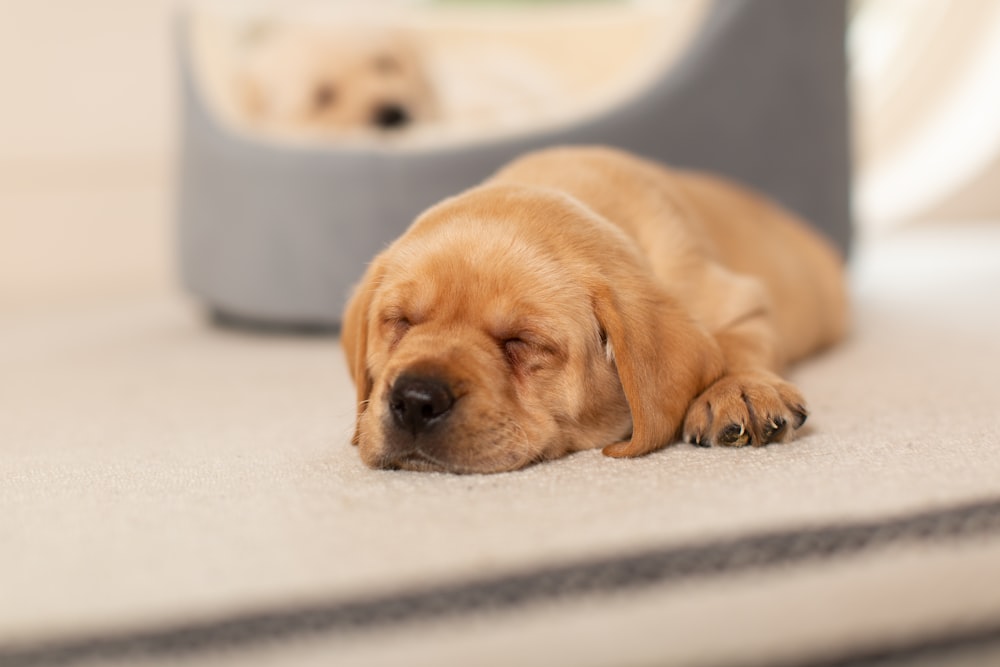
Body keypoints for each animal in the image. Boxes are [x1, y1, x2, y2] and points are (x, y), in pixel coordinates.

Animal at [340, 145, 848, 474]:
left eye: (522, 342)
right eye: (400, 322)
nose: (415, 400)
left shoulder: (740, 300)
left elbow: (739, 342)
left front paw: (741, 389)